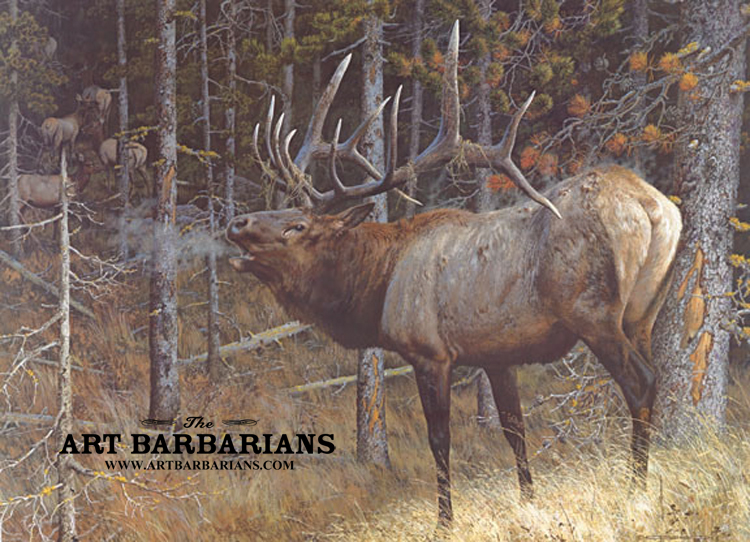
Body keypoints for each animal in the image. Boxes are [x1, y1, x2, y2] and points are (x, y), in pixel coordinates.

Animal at [225, 21, 682, 529]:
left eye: (297, 226)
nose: (237, 223)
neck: (378, 287)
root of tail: (651, 206)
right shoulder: (498, 354)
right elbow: (514, 429)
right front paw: (528, 501)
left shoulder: (429, 350)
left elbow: (439, 440)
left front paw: (445, 518)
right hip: (643, 312)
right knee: (653, 374)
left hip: (593, 312)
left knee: (640, 382)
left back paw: (636, 487)